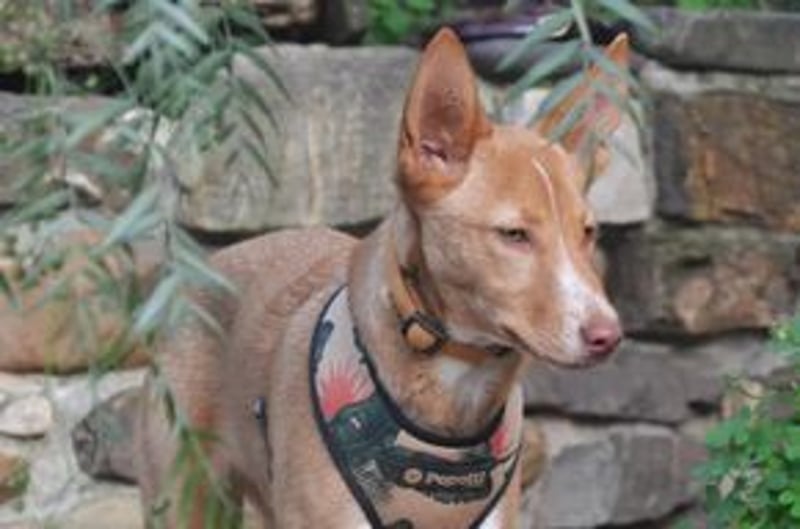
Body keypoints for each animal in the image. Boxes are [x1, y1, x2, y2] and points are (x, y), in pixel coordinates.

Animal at [135, 27, 626, 529]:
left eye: (589, 232)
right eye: (513, 234)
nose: (608, 336)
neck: (455, 389)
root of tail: (207, 263)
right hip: (184, 500)